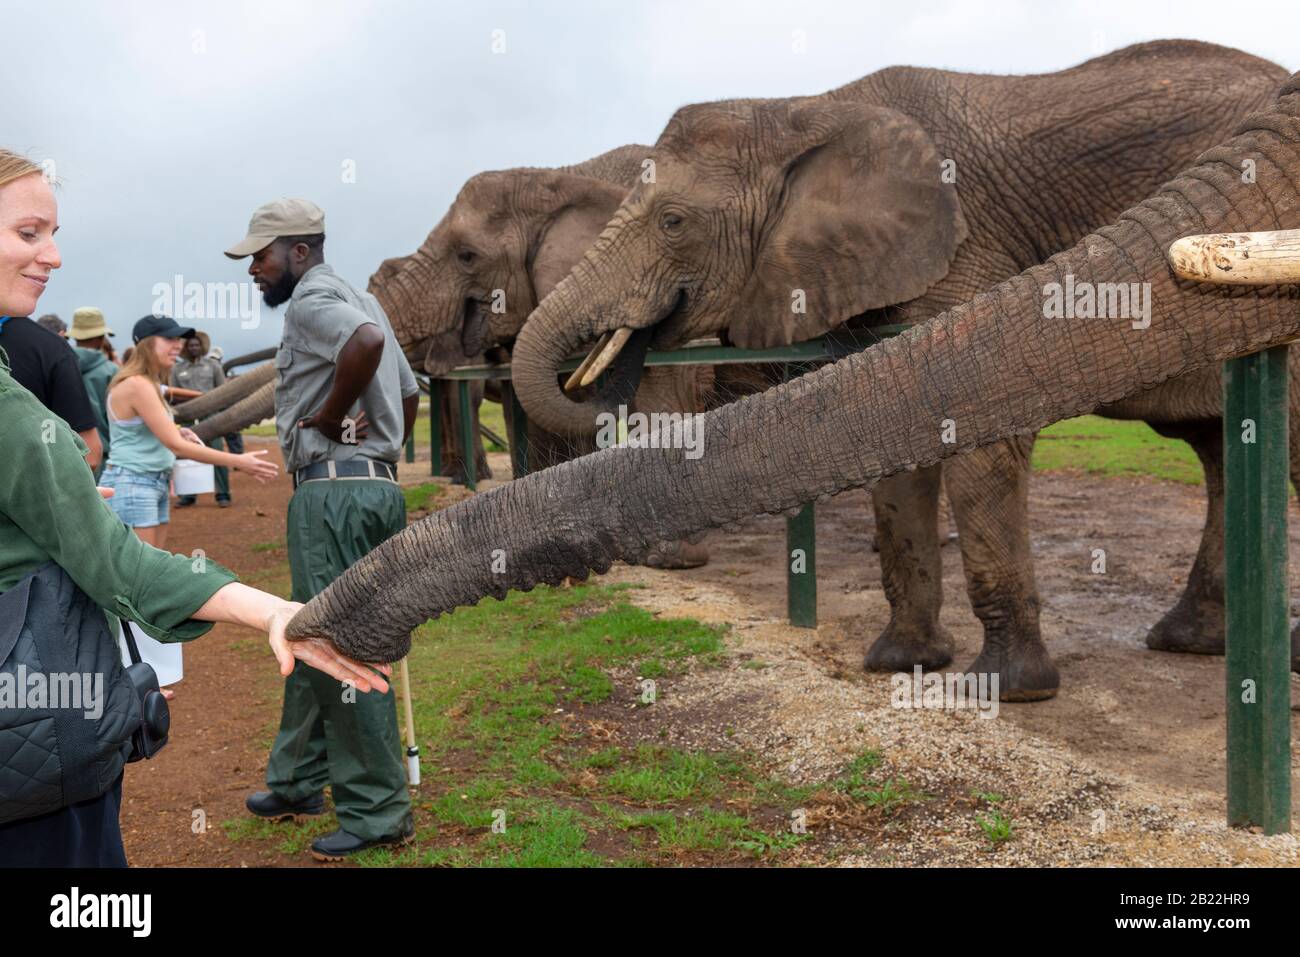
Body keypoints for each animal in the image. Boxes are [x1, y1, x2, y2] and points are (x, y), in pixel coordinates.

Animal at [285, 67, 1300, 681]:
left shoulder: (960, 243)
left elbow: (970, 439)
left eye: (674, 223)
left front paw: (1002, 690)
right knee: (1224, 446)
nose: (304, 637)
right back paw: (1193, 642)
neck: (805, 108)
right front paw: (900, 664)